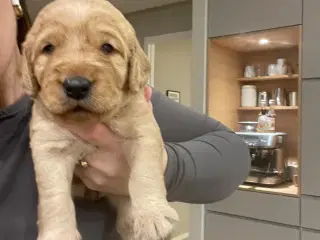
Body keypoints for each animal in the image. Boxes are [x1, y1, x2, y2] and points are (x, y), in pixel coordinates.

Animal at [21, 0, 179, 240]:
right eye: (48, 48)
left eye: (107, 47)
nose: (76, 86)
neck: (88, 119)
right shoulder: (49, 148)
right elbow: (55, 198)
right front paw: (60, 233)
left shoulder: (142, 130)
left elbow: (144, 174)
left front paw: (151, 215)